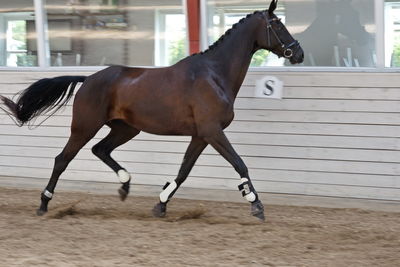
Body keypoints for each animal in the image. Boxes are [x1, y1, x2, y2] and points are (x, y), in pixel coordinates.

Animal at [0, 0, 304, 222]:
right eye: (277, 24)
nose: (298, 53)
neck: (214, 75)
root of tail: (88, 79)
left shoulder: (201, 135)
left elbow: (183, 171)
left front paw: (161, 204)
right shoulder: (212, 131)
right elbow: (239, 163)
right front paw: (256, 204)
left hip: (126, 128)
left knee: (101, 150)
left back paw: (125, 185)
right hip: (85, 126)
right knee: (62, 159)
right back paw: (44, 204)